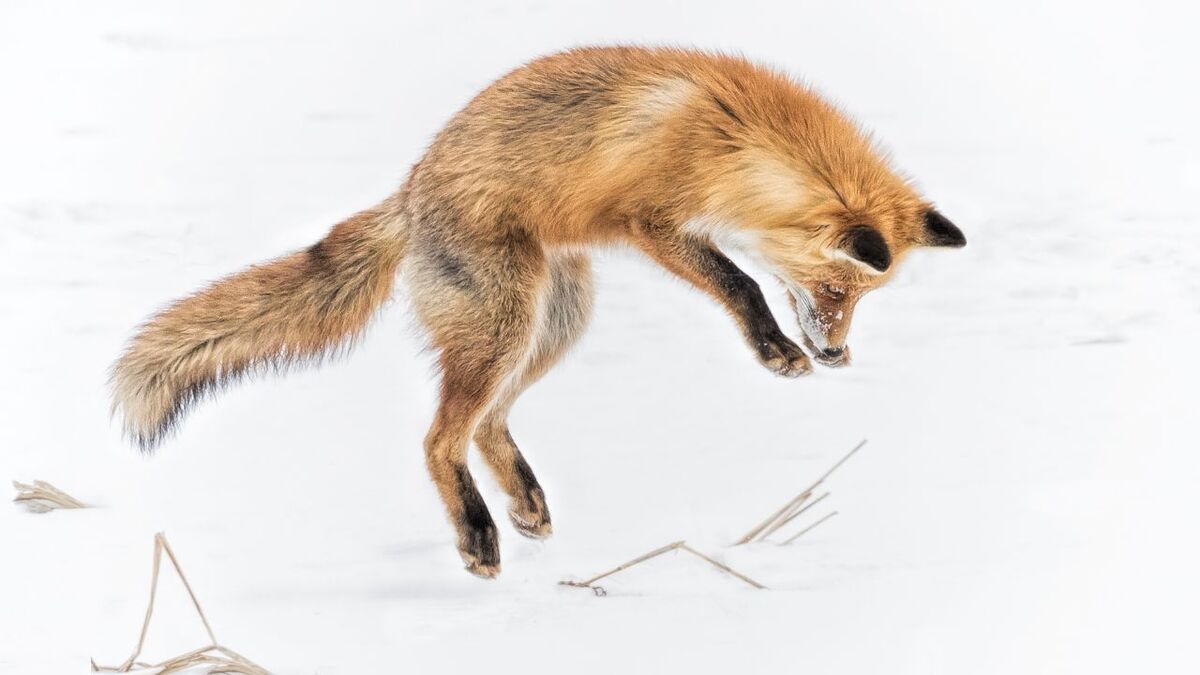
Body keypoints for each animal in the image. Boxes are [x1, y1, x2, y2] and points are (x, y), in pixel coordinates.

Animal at [112, 46, 965, 578]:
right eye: (834, 292)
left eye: (858, 300)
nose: (835, 353)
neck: (732, 138)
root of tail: (411, 189)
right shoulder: (652, 222)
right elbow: (741, 283)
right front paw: (775, 348)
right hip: (506, 324)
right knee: (439, 438)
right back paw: (478, 534)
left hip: (555, 321)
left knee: (488, 423)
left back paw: (523, 502)